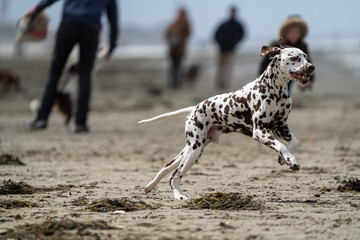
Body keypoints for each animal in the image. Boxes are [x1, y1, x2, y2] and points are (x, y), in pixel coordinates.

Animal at [138, 43, 316, 201]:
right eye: (294, 58)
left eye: (305, 57)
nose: (311, 67)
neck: (276, 92)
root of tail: (195, 108)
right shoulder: (260, 131)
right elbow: (281, 145)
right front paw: (291, 160)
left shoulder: (281, 127)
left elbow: (294, 142)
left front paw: (284, 159)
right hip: (194, 150)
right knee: (174, 176)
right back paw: (178, 196)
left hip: (192, 148)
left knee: (167, 166)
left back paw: (149, 186)